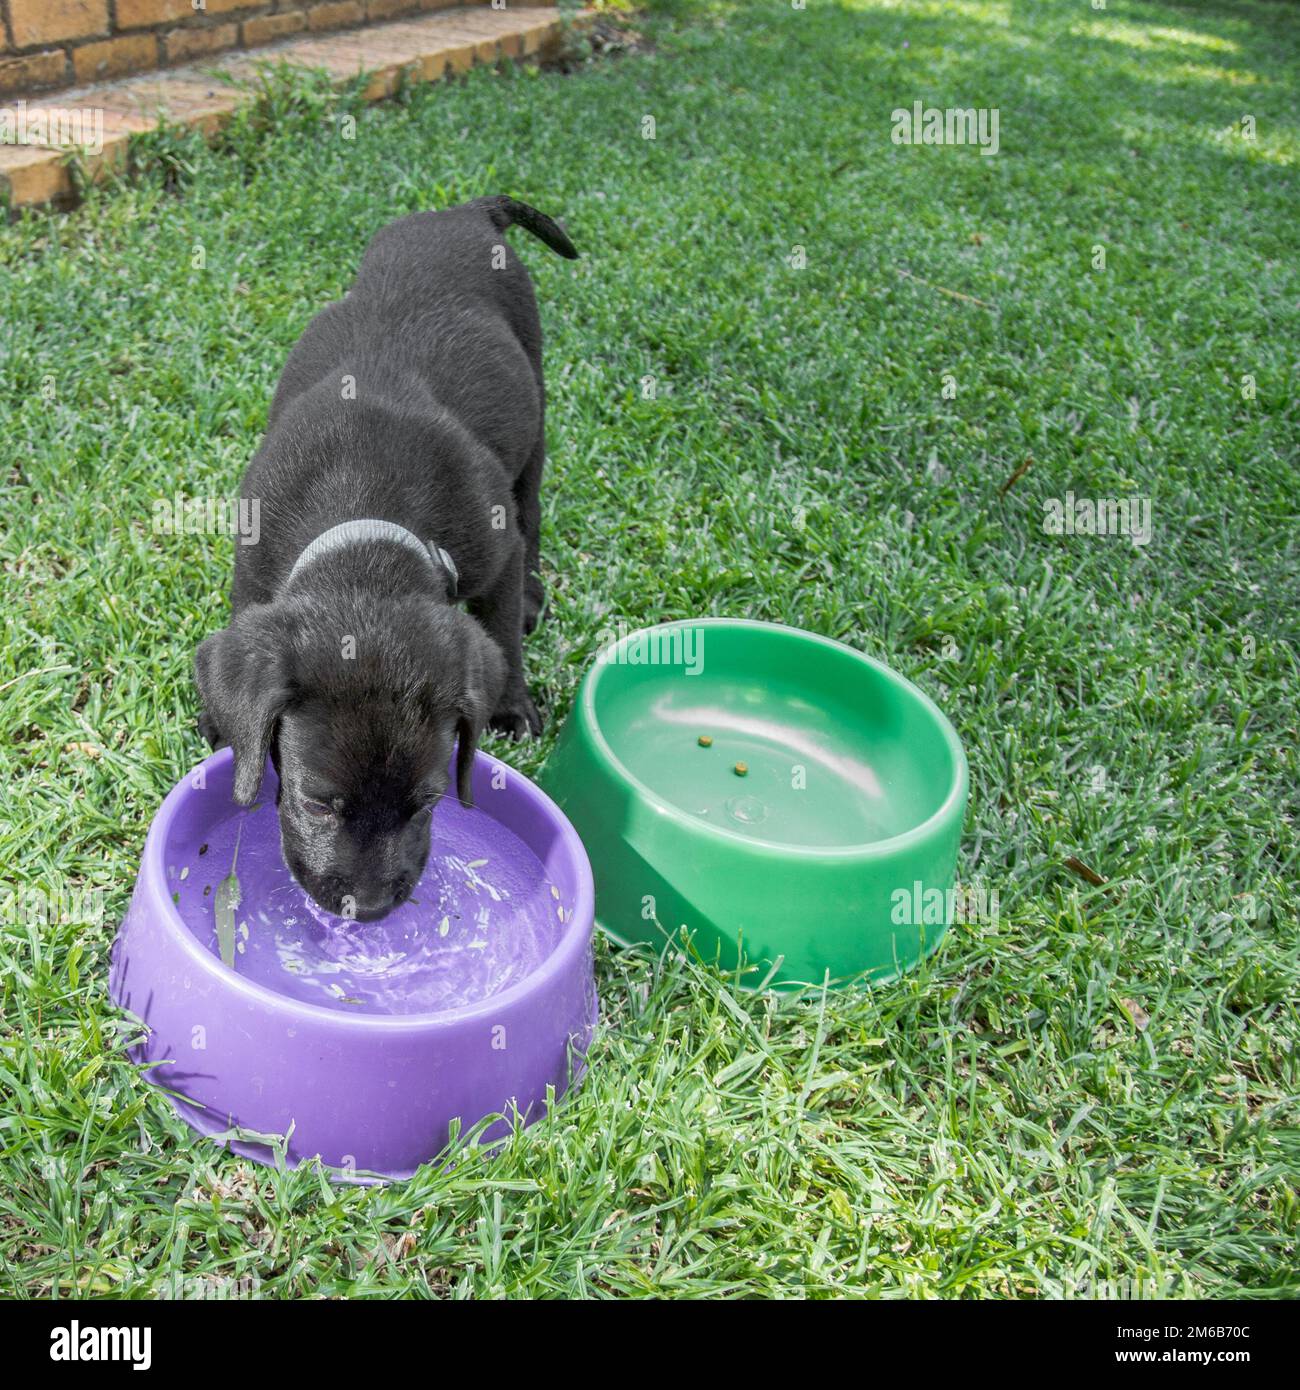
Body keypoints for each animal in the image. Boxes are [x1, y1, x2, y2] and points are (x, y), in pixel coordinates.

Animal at [196, 190, 575, 917]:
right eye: (318, 803)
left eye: (427, 803)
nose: (368, 909)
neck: (364, 504)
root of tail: (465, 211)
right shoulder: (252, 574)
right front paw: (220, 723)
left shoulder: (497, 548)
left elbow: (502, 630)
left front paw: (512, 706)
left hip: (535, 408)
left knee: (535, 509)